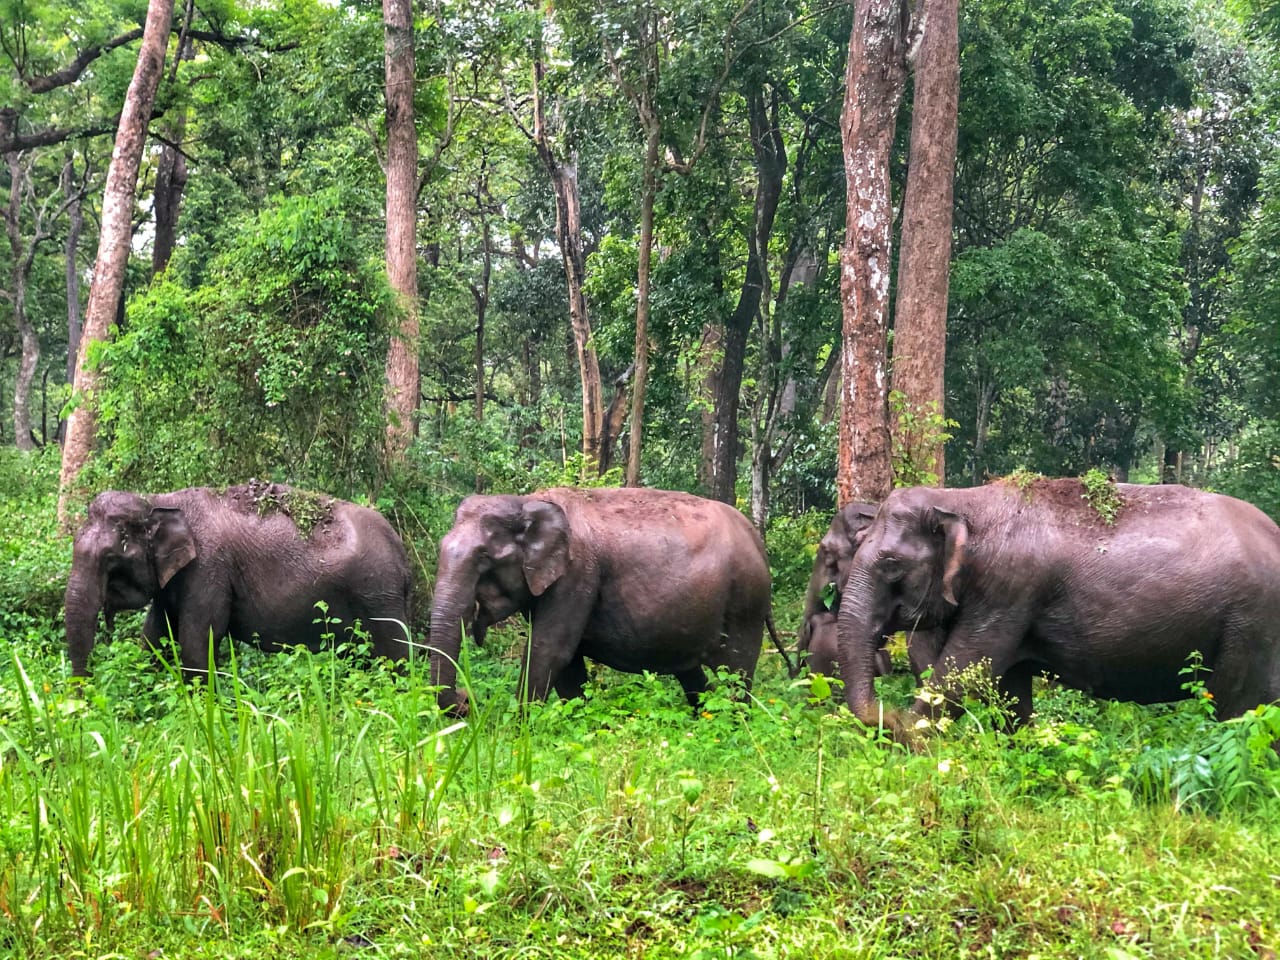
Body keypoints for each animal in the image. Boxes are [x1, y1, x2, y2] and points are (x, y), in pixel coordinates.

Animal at [64, 482, 414, 678]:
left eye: (112, 559)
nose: (82, 700)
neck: (159, 500)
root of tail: (401, 551)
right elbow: (153, 638)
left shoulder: (209, 568)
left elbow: (198, 642)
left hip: (378, 593)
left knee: (395, 655)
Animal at [427, 486, 793, 715]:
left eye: (484, 558)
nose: (465, 701)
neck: (528, 501)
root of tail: (756, 539)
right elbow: (568, 666)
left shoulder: (577, 575)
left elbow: (549, 651)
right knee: (693, 675)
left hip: (744, 603)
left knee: (736, 673)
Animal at [837, 478, 1280, 736]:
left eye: (891, 565)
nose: (884, 714)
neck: (962, 499)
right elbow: (1009, 691)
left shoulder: (1009, 589)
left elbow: (965, 671)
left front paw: (909, 736)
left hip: (1251, 624)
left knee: (1237, 708)